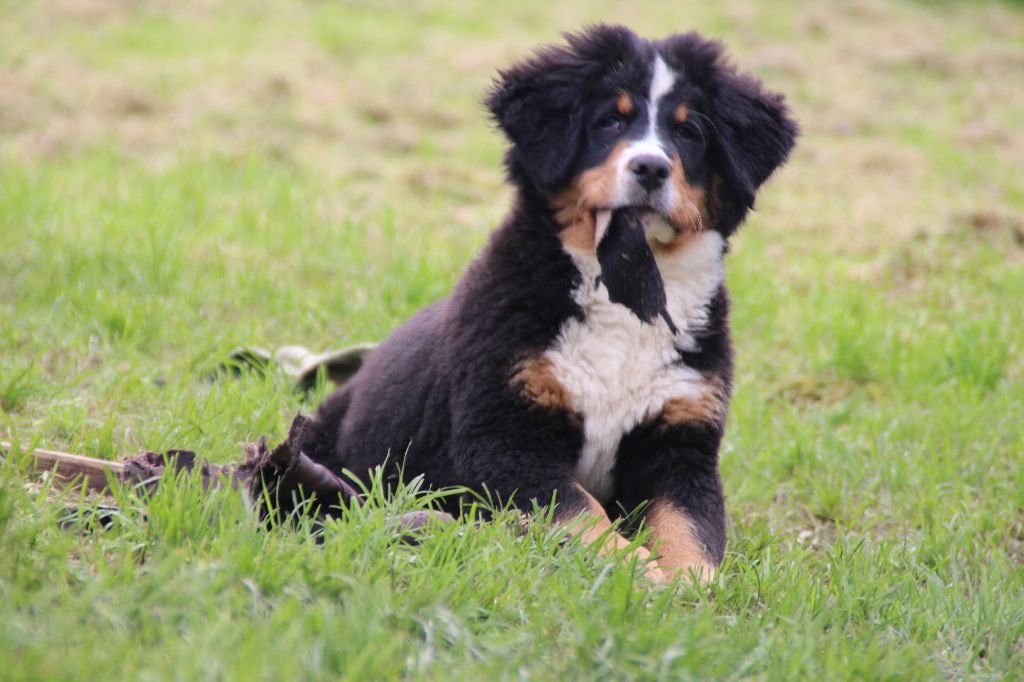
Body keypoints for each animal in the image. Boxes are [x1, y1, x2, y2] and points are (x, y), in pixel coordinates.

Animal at [299, 25, 794, 577]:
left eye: (689, 133)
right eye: (610, 121)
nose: (650, 167)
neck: (628, 293)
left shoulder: (682, 442)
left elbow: (689, 526)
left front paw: (691, 581)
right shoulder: (505, 440)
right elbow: (582, 511)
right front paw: (637, 571)